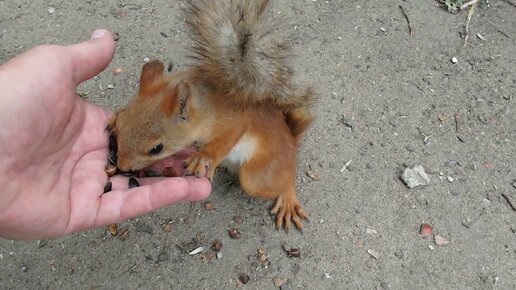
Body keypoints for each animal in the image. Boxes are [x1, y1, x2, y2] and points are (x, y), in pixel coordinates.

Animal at [108, 0, 314, 231]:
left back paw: (287, 197)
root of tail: (291, 140)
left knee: (284, 178)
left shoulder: (234, 121)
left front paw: (203, 157)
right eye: (121, 124)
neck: (205, 106)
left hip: (260, 174)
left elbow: (223, 141)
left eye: (156, 149)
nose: (122, 166)